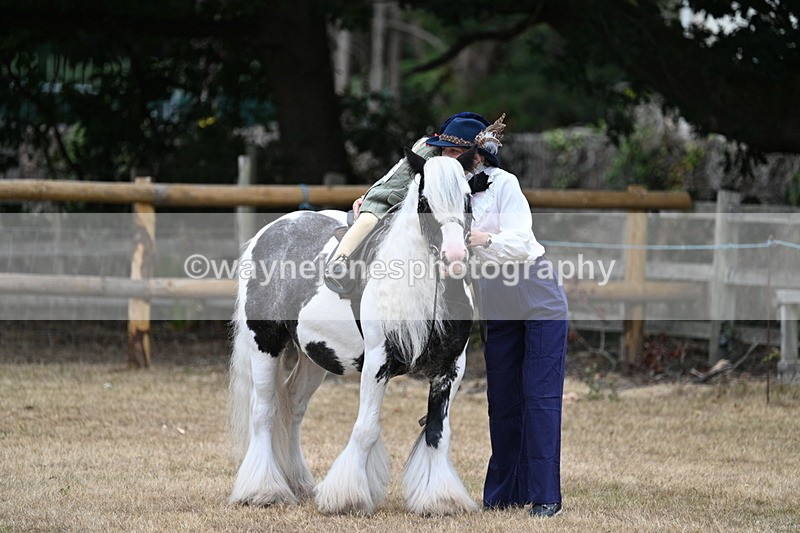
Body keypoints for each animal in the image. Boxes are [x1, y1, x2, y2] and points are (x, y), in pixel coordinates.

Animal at [228, 148, 479, 516]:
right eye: (424, 201)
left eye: (467, 198)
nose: (455, 256)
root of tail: (270, 232)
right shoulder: (377, 363)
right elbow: (366, 429)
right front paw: (347, 497)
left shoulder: (450, 369)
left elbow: (437, 432)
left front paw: (441, 499)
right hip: (265, 343)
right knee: (263, 412)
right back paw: (263, 490)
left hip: (313, 357)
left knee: (293, 407)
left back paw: (298, 482)